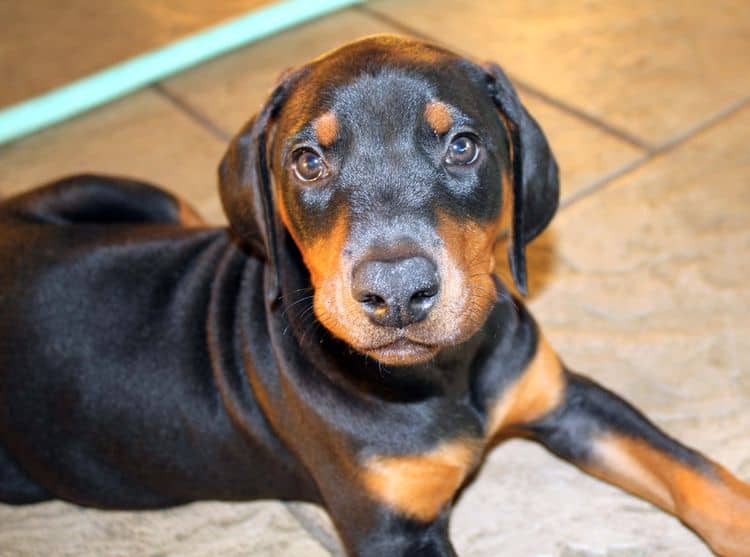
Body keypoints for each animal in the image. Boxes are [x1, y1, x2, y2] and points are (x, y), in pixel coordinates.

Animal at [1, 35, 750, 556]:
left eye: (463, 146)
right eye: (307, 161)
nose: (397, 293)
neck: (446, 374)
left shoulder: (565, 399)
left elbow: (697, 473)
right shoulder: (393, 529)